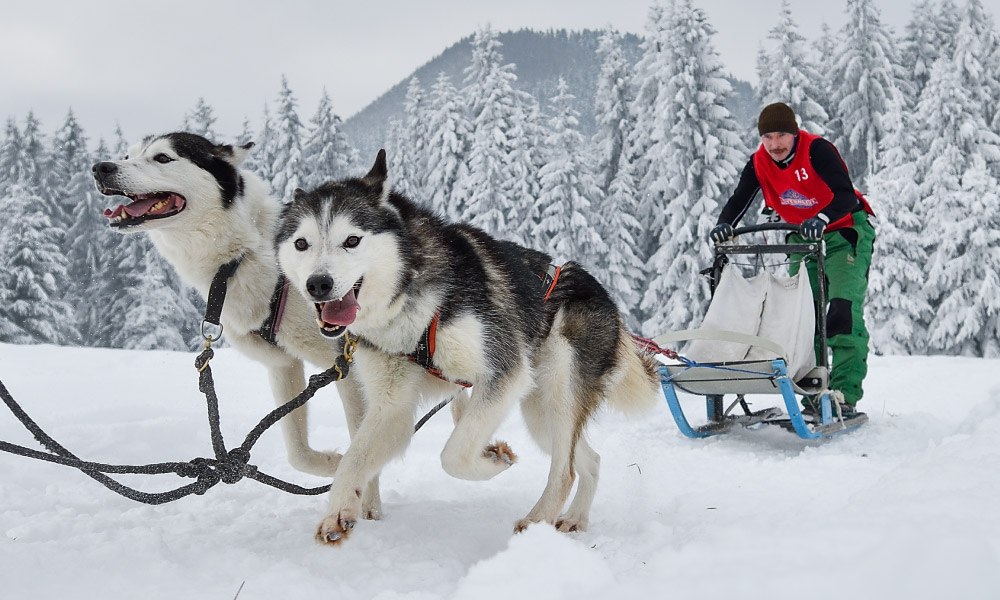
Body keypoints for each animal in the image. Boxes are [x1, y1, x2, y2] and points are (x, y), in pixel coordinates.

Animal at [92, 134, 384, 516]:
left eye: (162, 158)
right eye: (127, 155)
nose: (101, 167)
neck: (245, 256)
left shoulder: (347, 365)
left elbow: (364, 442)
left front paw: (368, 509)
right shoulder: (283, 366)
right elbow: (298, 453)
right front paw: (335, 465)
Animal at [276, 150, 664, 544]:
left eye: (352, 240)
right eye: (301, 244)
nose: (318, 284)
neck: (409, 300)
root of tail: (605, 298)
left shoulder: (504, 372)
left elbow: (454, 455)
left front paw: (492, 460)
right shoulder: (391, 405)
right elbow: (353, 459)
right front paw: (337, 512)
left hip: (559, 388)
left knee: (565, 469)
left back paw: (537, 519)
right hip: (540, 414)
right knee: (585, 459)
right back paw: (575, 519)